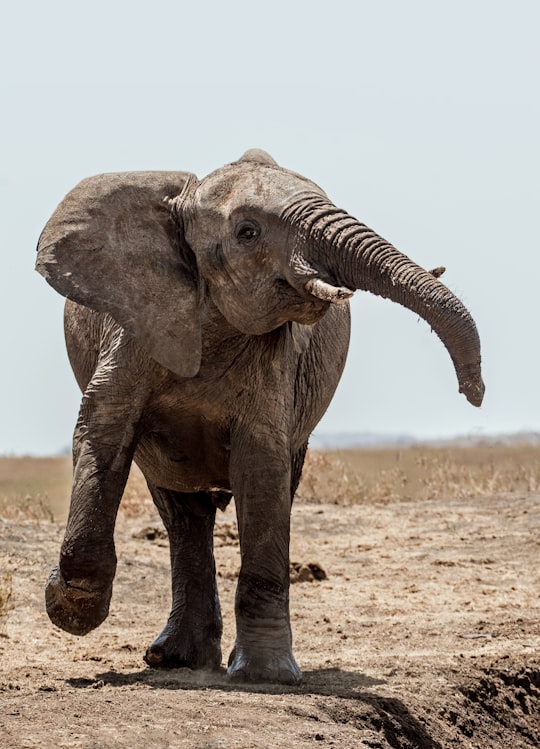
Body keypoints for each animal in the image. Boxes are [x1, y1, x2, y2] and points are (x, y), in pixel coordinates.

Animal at [35, 146, 484, 684]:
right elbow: (103, 428)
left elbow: (262, 464)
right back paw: (174, 659)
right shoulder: (134, 326)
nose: (474, 392)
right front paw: (69, 609)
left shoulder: (276, 359)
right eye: (248, 232)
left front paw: (265, 677)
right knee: (181, 512)